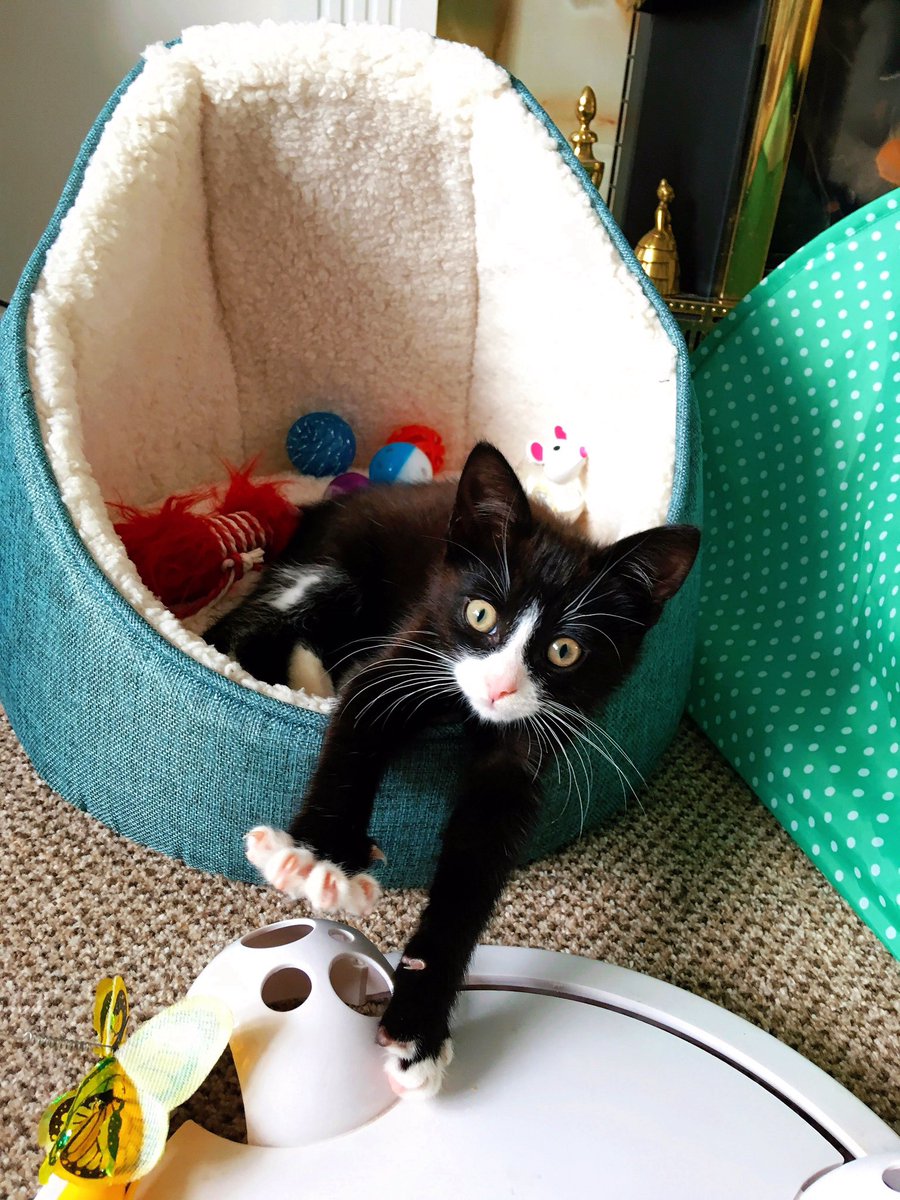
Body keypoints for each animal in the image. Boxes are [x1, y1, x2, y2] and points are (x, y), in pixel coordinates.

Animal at [207, 441, 700, 1099]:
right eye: (481, 613)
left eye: (565, 650)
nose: (498, 688)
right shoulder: (414, 646)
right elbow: (358, 718)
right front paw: (319, 858)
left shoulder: (524, 751)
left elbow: (478, 861)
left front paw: (418, 1030)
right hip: (324, 569)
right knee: (241, 632)